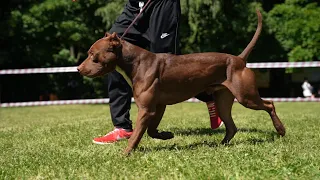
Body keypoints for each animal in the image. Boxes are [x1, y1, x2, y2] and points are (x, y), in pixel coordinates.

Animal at [77, 9, 284, 155]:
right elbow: (151, 130)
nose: (78, 68)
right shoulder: (157, 106)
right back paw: (220, 144)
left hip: (246, 96)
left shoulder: (146, 109)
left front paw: (125, 153)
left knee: (269, 104)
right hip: (223, 99)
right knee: (231, 126)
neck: (134, 61)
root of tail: (239, 59)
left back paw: (281, 130)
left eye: (93, 55)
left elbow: (136, 135)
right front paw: (167, 135)